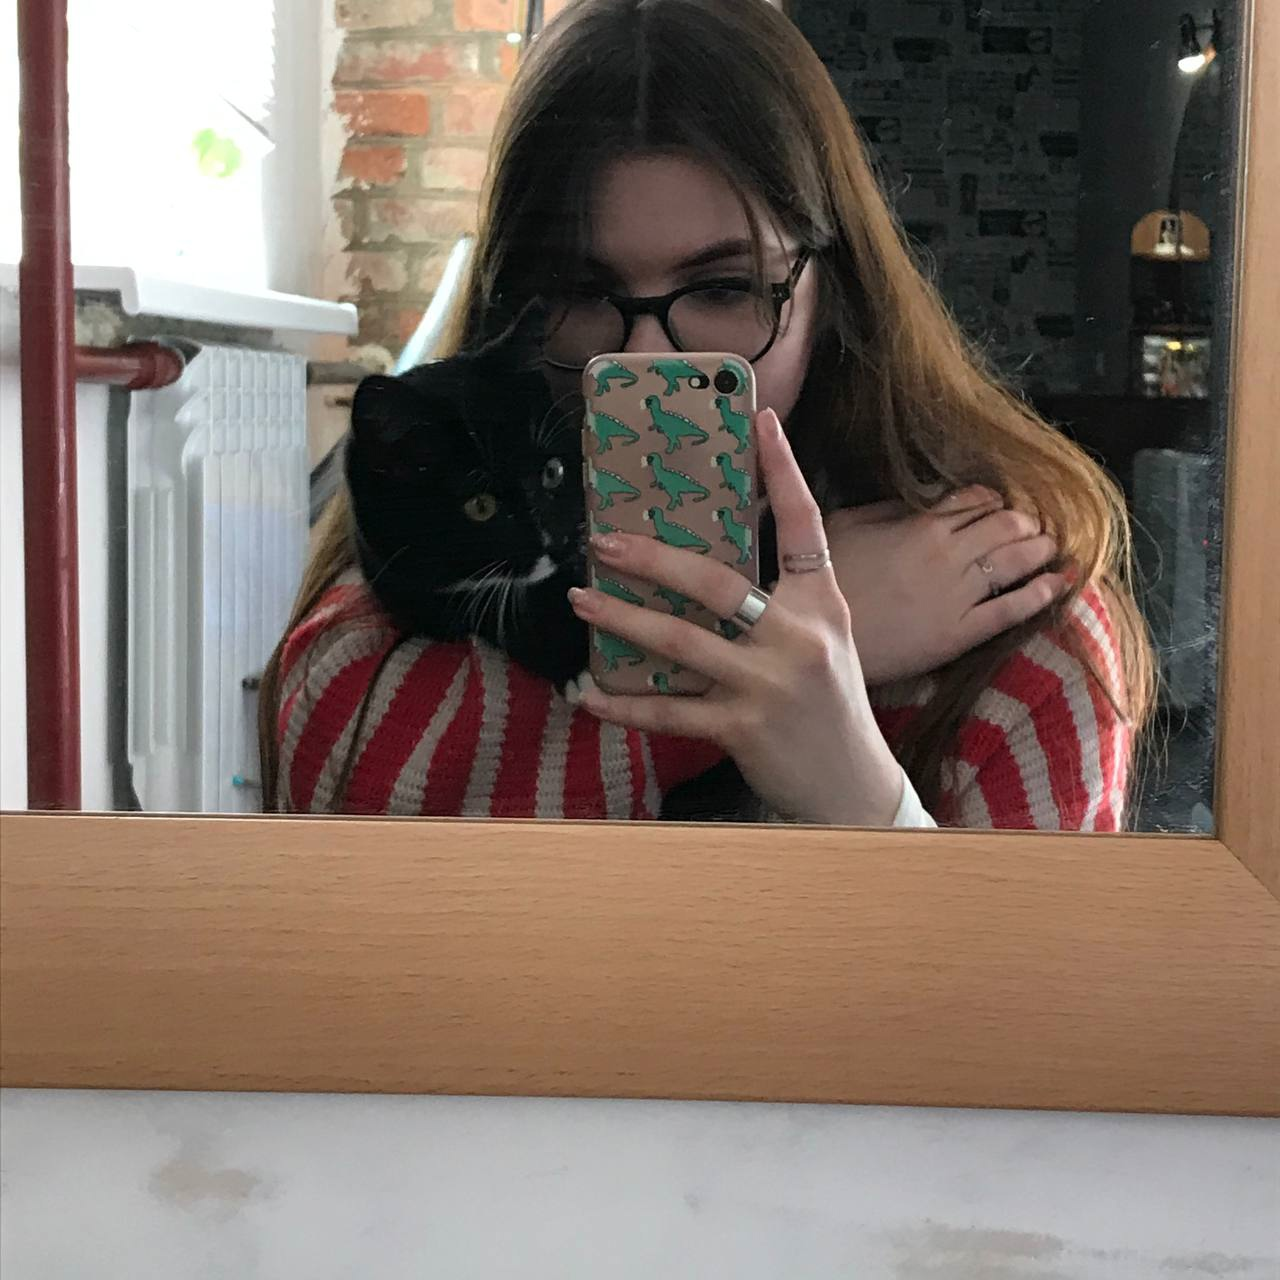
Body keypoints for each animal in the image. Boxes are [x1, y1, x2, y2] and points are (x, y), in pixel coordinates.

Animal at [345, 306, 590, 691]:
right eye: (480, 505)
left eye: (553, 472)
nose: (556, 543)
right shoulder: (407, 588)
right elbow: (490, 611)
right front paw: (574, 658)